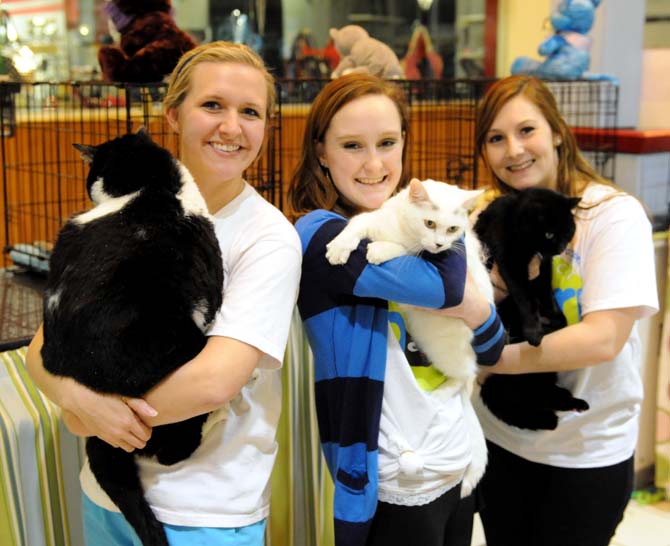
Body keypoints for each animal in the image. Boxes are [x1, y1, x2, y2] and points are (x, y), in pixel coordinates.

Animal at [328, 176, 496, 496]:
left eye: (452, 229)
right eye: (429, 222)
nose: (440, 243)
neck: (402, 229)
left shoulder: (418, 253)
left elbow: (404, 251)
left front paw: (379, 250)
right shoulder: (373, 218)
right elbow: (355, 224)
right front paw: (339, 247)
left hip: (440, 344)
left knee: (465, 378)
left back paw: (441, 392)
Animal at [476, 187, 592, 430]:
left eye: (569, 230)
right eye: (549, 234)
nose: (561, 247)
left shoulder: (544, 266)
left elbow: (547, 293)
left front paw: (556, 318)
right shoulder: (510, 262)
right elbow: (525, 298)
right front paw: (534, 331)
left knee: (547, 395)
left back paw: (574, 403)